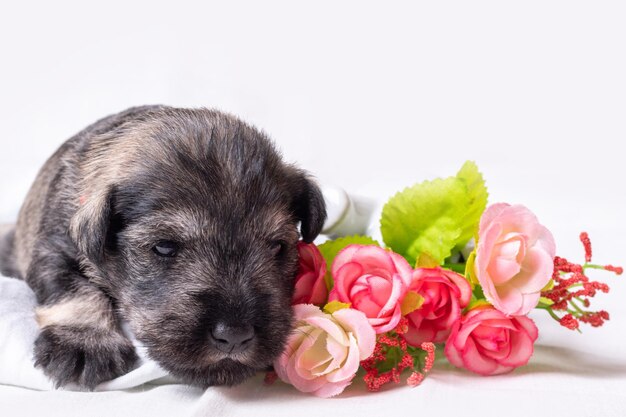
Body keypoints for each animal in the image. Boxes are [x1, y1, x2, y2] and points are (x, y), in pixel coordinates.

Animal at [1, 105, 326, 388]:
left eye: (277, 247)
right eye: (165, 247)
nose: (234, 336)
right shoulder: (53, 251)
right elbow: (75, 291)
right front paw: (86, 342)